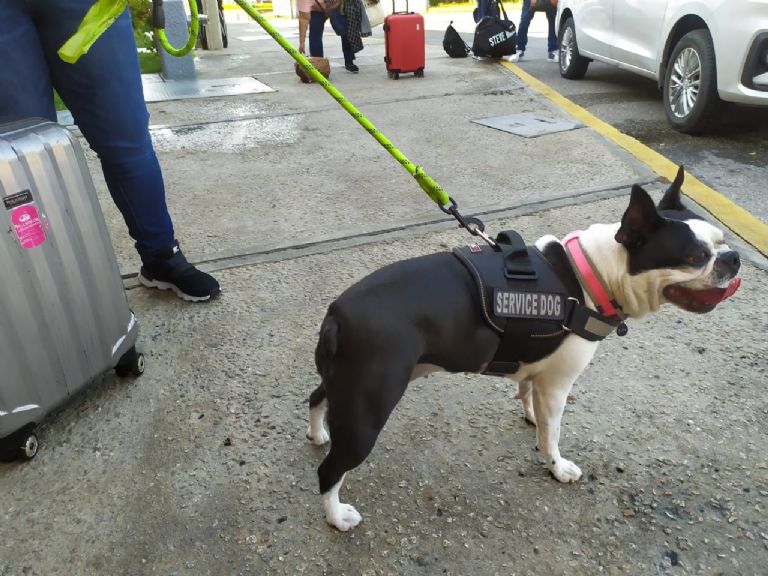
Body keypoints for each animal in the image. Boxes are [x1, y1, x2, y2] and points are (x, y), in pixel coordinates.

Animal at [306, 167, 741, 531]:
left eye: (723, 240)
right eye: (696, 257)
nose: (733, 257)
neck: (594, 274)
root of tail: (338, 314)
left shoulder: (540, 370)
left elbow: (530, 397)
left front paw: (531, 417)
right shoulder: (559, 383)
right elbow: (554, 434)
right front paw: (557, 467)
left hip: (347, 382)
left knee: (315, 397)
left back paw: (318, 434)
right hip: (369, 408)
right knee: (330, 471)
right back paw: (336, 517)